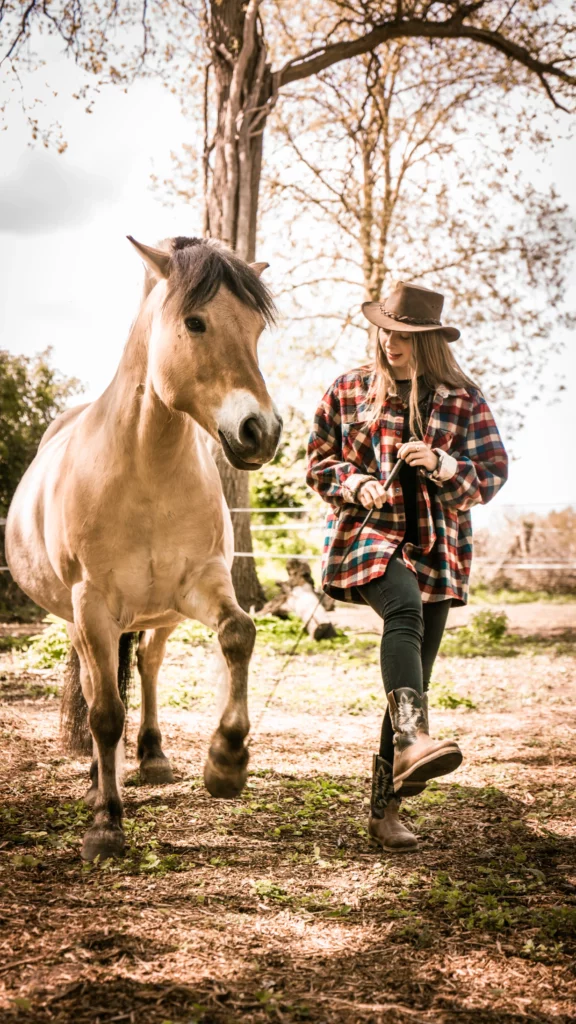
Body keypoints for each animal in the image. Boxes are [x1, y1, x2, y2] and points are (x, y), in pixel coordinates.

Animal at [3, 237, 282, 864]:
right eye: (195, 322)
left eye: (257, 329)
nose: (261, 431)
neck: (144, 468)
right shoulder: (92, 605)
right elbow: (105, 713)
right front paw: (106, 823)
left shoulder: (202, 582)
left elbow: (238, 634)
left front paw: (226, 763)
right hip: (83, 621)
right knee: (96, 688)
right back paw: (95, 781)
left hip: (161, 615)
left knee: (148, 668)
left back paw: (152, 756)